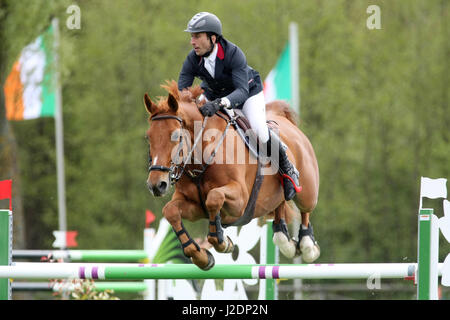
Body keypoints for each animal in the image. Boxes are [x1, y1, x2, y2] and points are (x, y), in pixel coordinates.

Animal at [144, 80, 320, 270]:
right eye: (148, 138)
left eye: (176, 135)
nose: (156, 185)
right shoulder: (194, 206)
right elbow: (170, 211)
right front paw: (201, 256)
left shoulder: (240, 200)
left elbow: (214, 197)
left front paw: (222, 241)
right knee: (280, 205)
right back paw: (285, 240)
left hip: (307, 192)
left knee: (305, 209)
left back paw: (307, 244)